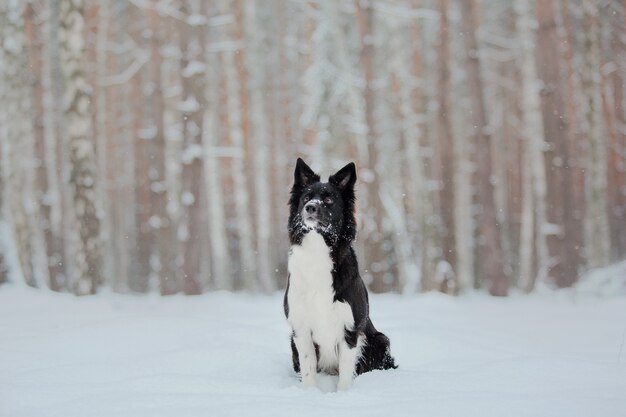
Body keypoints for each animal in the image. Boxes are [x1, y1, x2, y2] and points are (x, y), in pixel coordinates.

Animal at [282, 158, 394, 388]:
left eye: (328, 199)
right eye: (306, 198)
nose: (310, 207)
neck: (317, 248)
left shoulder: (350, 328)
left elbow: (345, 372)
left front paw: (343, 394)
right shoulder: (300, 327)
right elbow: (308, 368)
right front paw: (309, 393)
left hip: (380, 340)